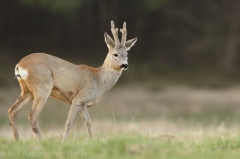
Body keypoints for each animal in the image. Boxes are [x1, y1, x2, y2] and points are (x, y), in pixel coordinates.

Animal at [7, 20, 137, 140]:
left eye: (127, 54)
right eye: (115, 54)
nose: (125, 65)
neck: (98, 80)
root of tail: (19, 65)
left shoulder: (83, 104)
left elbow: (88, 123)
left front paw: (91, 141)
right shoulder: (78, 99)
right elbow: (69, 123)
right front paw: (63, 141)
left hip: (27, 90)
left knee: (12, 111)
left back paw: (17, 141)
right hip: (42, 87)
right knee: (32, 116)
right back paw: (42, 141)